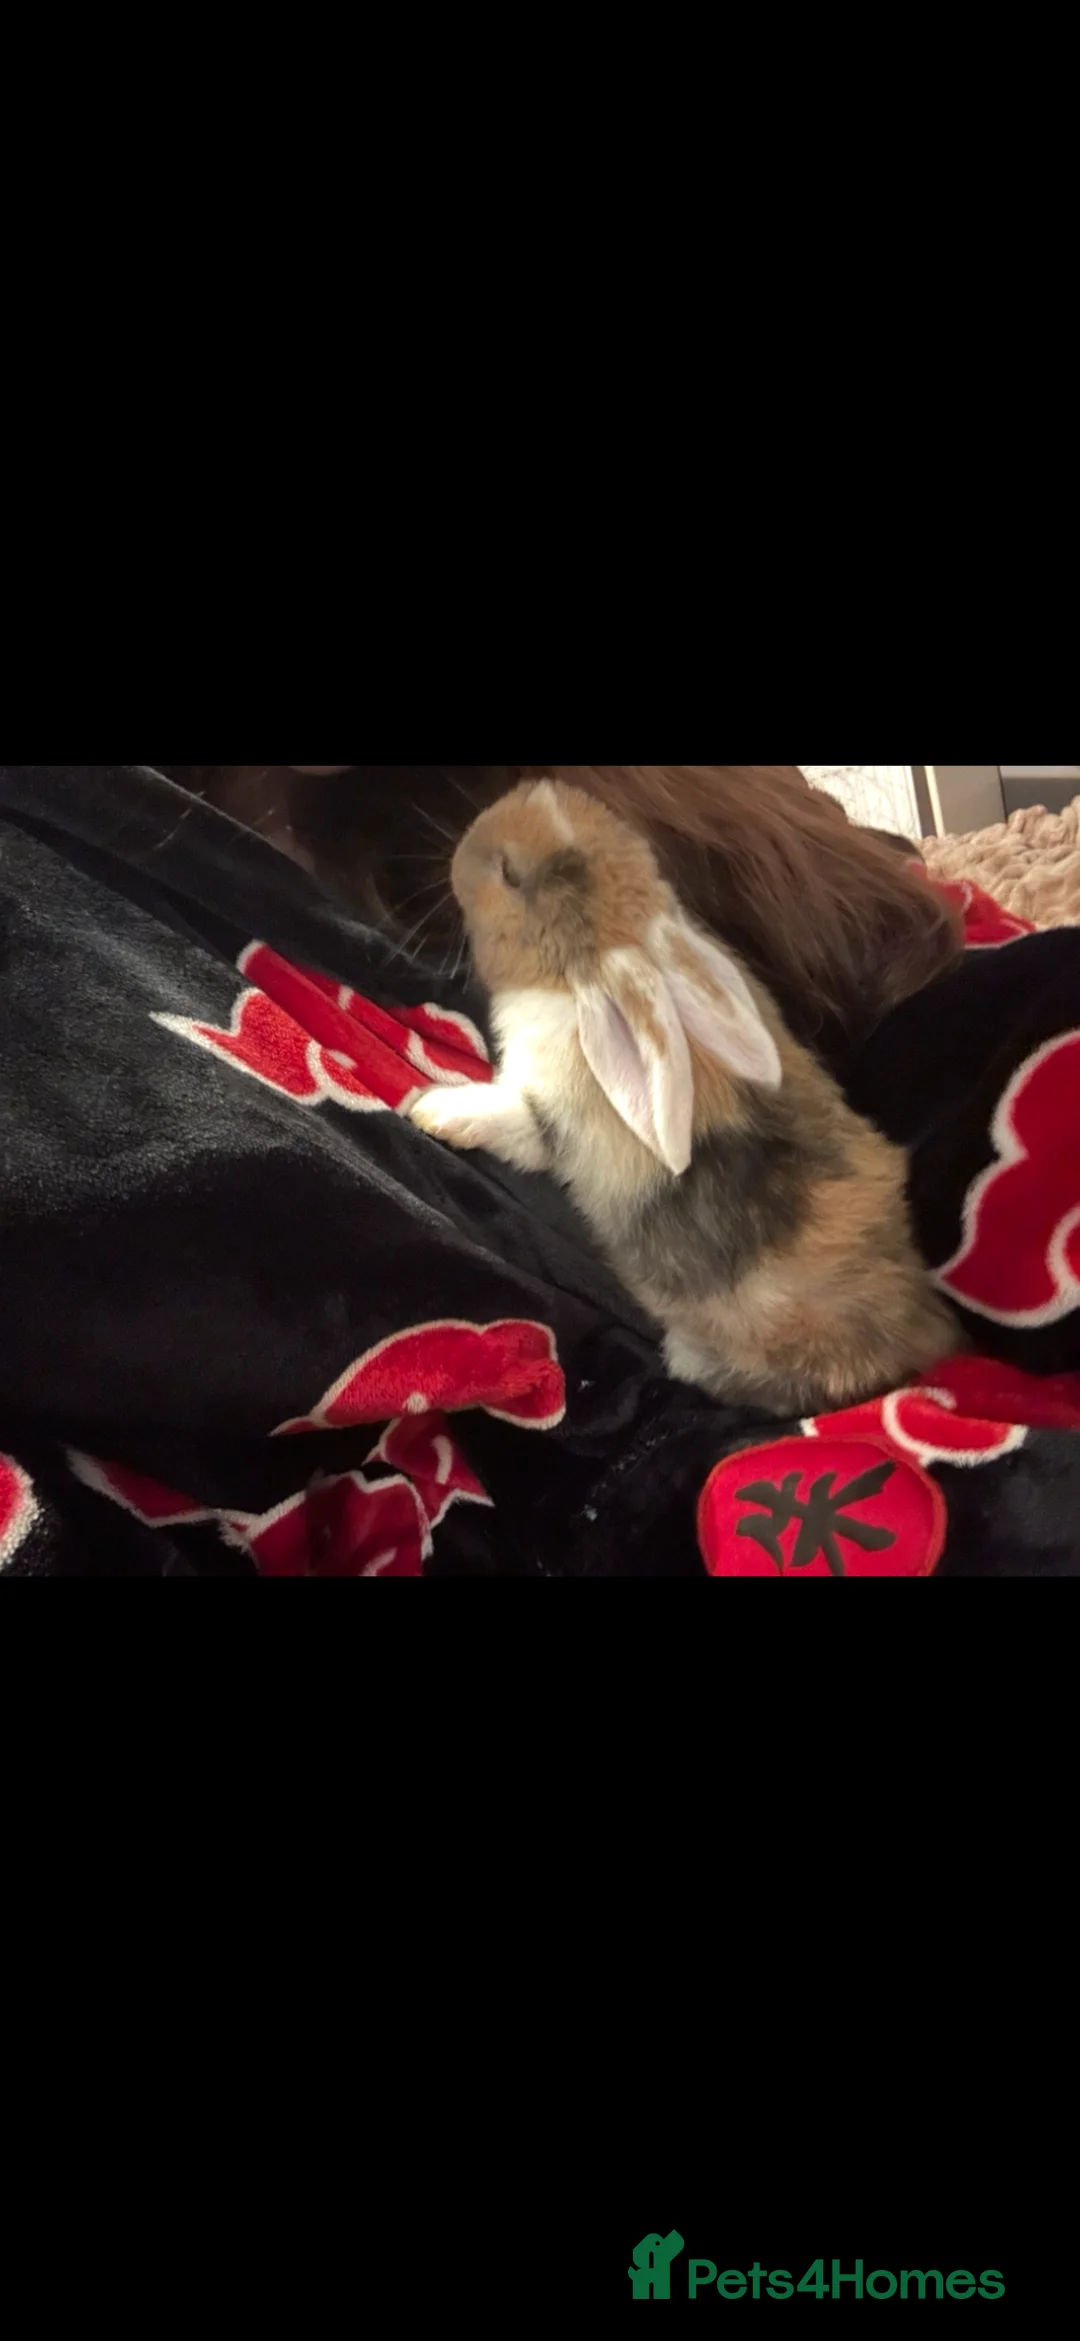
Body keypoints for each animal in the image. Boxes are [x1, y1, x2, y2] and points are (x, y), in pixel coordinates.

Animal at [409, 778, 962, 1417]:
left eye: (509, 874)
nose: (470, 839)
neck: (593, 948)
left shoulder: (553, 1119)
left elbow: (513, 1119)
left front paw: (433, 1109)